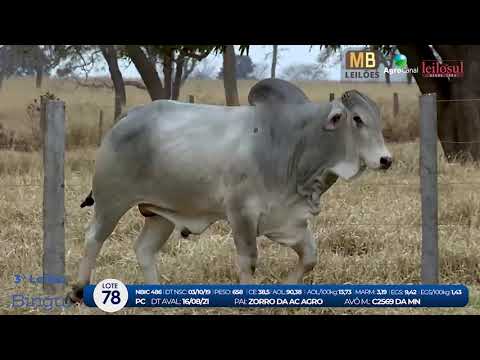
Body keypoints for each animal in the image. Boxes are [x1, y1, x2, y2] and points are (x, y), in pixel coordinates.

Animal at [69, 80, 392, 302]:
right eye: (357, 119)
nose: (386, 160)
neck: (293, 142)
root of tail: (126, 117)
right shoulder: (241, 214)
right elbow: (249, 261)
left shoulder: (289, 220)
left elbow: (310, 258)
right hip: (112, 201)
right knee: (94, 238)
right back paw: (77, 289)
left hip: (160, 214)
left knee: (144, 249)